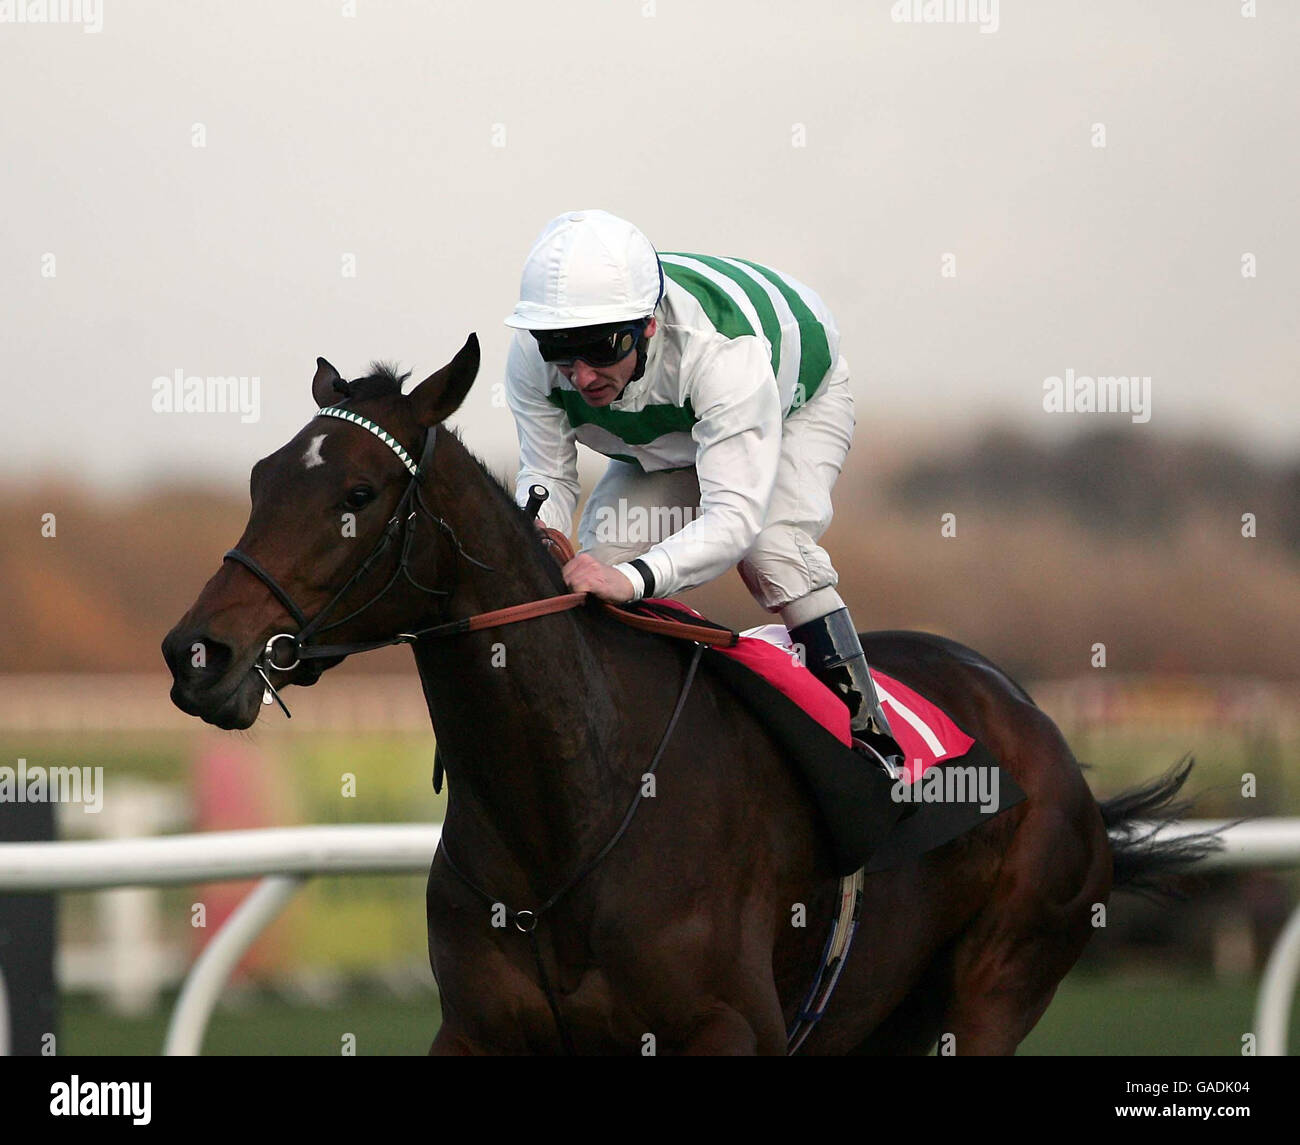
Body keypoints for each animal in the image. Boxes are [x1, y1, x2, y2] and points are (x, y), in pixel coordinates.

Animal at [162, 332, 1216, 1055]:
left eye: (360, 496)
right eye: (261, 478)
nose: (196, 653)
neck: (568, 812)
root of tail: (1039, 727)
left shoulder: (728, 1030)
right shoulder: (476, 1031)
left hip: (998, 981)